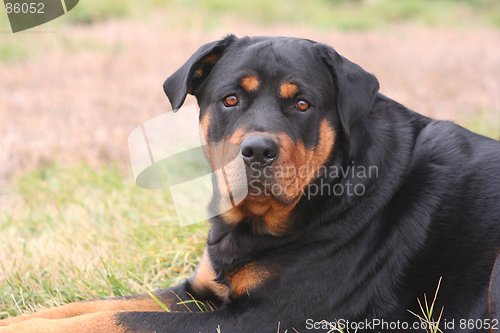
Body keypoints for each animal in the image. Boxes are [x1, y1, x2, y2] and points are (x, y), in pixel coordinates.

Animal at [0, 35, 500, 330]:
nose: (258, 150)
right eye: (230, 99)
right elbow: (96, 305)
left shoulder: (262, 317)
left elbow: (119, 319)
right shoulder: (199, 290)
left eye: (302, 104)